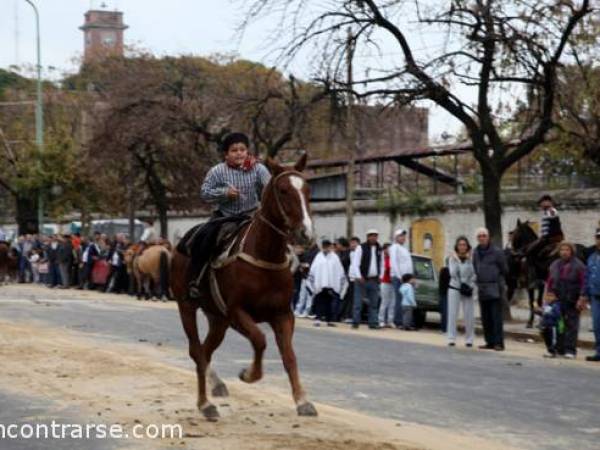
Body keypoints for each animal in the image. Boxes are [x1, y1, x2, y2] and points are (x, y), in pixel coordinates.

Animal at [170, 155, 316, 422]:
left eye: (307, 189)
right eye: (283, 190)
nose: (305, 234)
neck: (264, 255)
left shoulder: (283, 314)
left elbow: (289, 356)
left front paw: (303, 400)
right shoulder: (236, 312)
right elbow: (259, 340)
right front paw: (248, 374)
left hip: (217, 319)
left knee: (205, 351)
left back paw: (215, 387)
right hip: (187, 307)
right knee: (197, 351)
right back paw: (205, 404)